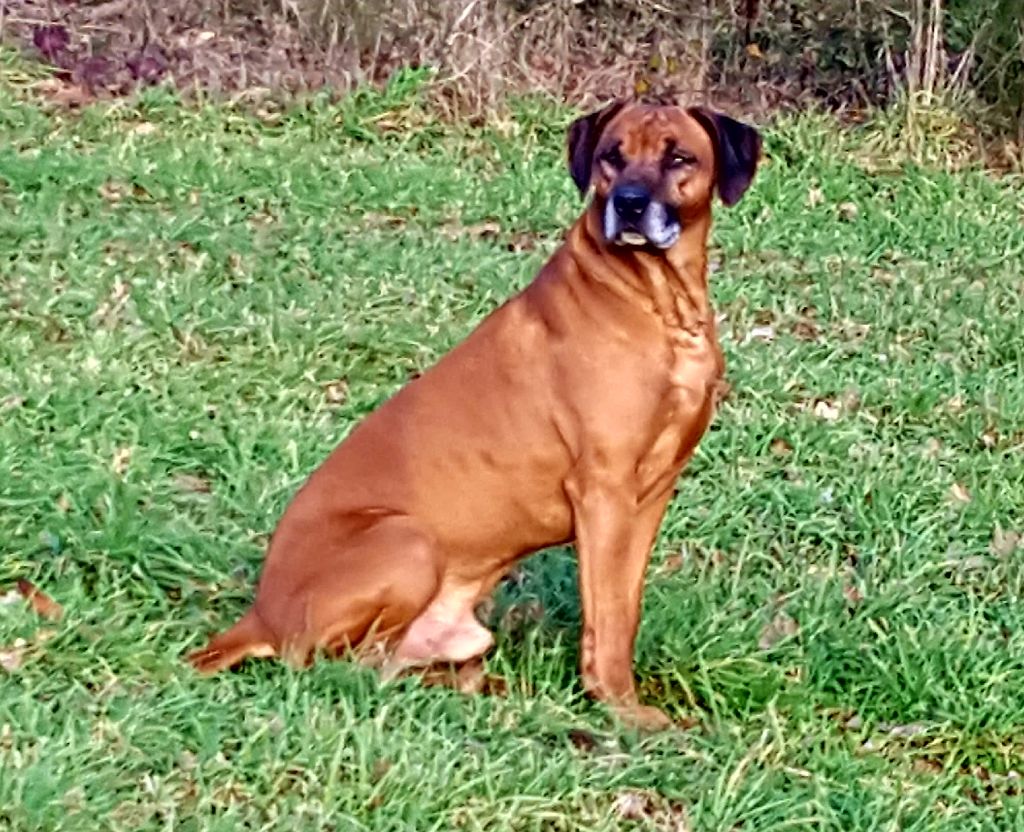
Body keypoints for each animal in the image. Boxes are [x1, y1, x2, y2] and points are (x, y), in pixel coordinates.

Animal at [187, 100, 761, 729]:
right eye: (613, 155)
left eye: (679, 157)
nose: (630, 203)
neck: (658, 302)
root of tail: (258, 615)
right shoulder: (605, 489)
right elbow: (608, 614)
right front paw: (621, 709)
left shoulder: (651, 493)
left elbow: (625, 605)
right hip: (407, 540)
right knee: (327, 664)